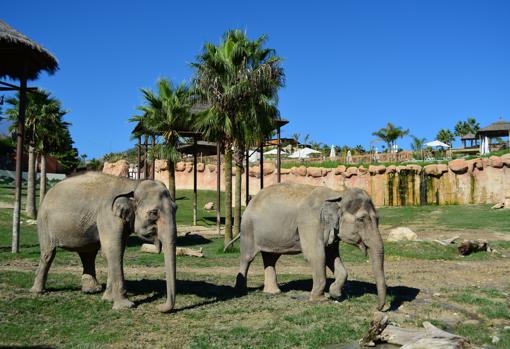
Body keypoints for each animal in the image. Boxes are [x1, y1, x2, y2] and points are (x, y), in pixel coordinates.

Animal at [30, 173, 177, 312]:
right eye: (153, 213)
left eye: (176, 208)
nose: (159, 307)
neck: (132, 184)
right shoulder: (108, 215)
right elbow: (113, 250)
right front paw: (125, 306)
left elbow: (116, 251)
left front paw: (108, 299)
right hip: (43, 221)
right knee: (48, 253)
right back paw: (38, 291)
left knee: (88, 255)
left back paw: (92, 290)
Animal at [232, 182, 386, 310]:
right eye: (361, 219)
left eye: (378, 219)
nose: (378, 308)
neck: (337, 194)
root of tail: (251, 201)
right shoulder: (310, 222)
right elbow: (316, 255)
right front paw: (320, 300)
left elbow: (331, 257)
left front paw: (335, 294)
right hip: (248, 229)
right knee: (247, 258)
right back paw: (241, 291)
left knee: (271, 258)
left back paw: (273, 292)